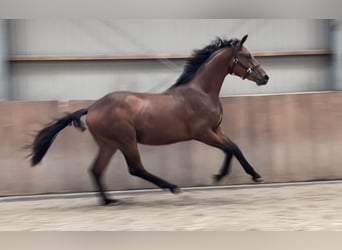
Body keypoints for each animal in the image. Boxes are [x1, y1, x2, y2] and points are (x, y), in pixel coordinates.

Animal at [29, 34, 268, 204]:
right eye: (247, 55)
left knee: (96, 170)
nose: (265, 77)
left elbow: (235, 148)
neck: (201, 92)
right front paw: (218, 176)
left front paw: (255, 175)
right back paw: (172, 187)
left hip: (108, 144)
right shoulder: (203, 133)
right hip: (126, 139)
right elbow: (229, 149)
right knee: (135, 168)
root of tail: (92, 107)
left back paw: (109, 201)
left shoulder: (216, 129)